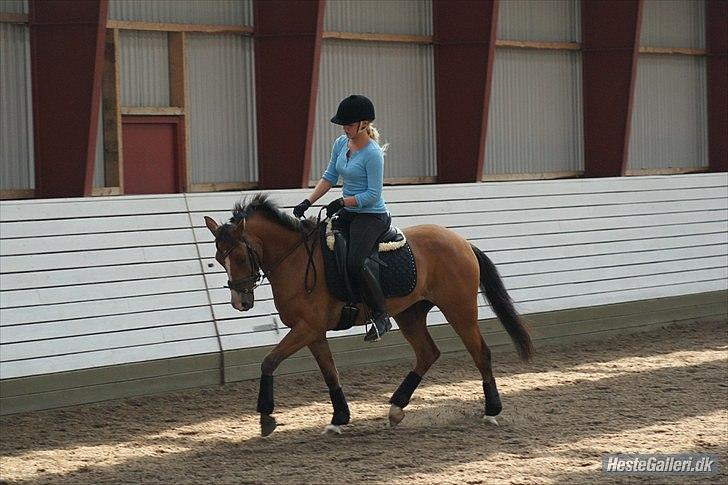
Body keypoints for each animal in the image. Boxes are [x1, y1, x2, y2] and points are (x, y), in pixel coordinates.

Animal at [205, 195, 536, 436]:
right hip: (410, 314)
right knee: (427, 353)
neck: (296, 260)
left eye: (239, 256)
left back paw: (491, 411)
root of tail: (462, 242)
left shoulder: (306, 328)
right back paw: (396, 408)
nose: (240, 302)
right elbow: (330, 372)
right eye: (219, 259)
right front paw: (339, 417)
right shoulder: (313, 331)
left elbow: (269, 361)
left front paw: (265, 416)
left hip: (459, 309)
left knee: (481, 353)